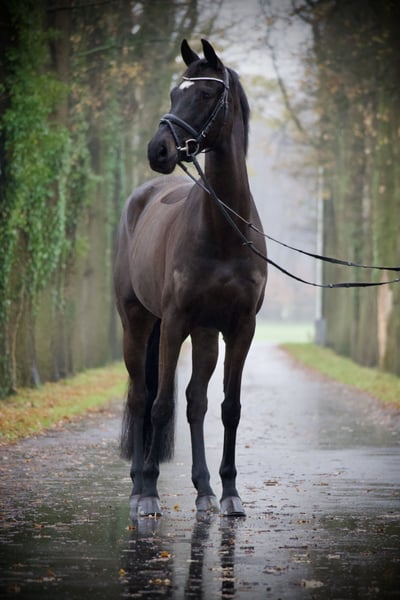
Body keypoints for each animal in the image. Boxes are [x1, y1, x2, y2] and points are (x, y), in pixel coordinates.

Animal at [113, 39, 267, 519]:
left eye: (203, 93)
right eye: (172, 93)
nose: (158, 150)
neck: (223, 232)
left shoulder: (239, 328)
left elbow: (228, 407)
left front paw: (230, 491)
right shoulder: (174, 322)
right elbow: (159, 405)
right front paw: (148, 492)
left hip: (204, 334)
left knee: (196, 401)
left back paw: (203, 491)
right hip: (138, 322)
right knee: (141, 396)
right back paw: (139, 485)